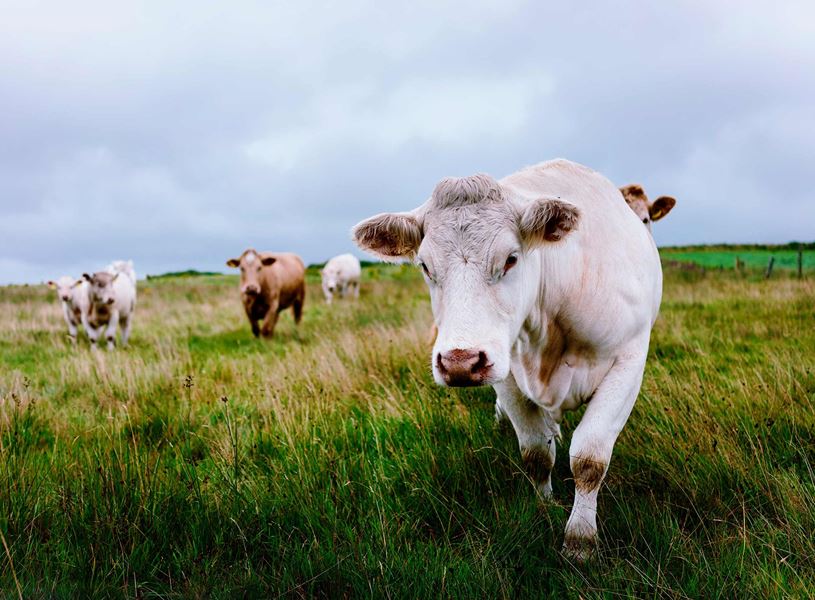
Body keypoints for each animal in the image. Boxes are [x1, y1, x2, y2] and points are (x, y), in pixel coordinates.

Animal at [353, 159, 662, 561]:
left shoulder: (628, 360)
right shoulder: (507, 376)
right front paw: (544, 508)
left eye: (511, 258)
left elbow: (589, 459)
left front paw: (580, 540)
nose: (459, 361)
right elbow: (536, 453)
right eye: (424, 266)